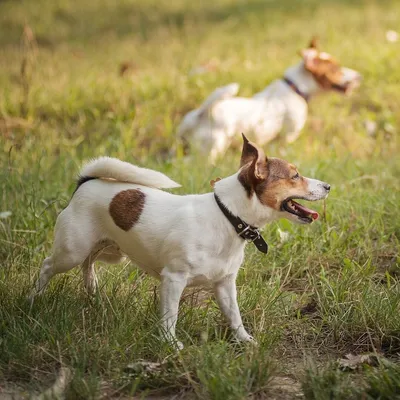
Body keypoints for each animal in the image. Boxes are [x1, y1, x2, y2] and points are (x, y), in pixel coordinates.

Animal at [31, 134, 330, 346]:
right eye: (295, 176)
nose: (328, 186)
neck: (226, 216)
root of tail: (86, 181)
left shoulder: (225, 285)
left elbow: (235, 316)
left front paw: (245, 341)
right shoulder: (173, 279)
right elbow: (170, 316)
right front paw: (171, 345)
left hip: (110, 251)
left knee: (89, 263)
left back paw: (92, 291)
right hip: (72, 250)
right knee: (48, 266)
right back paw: (34, 299)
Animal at [178, 38, 362, 162]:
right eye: (336, 69)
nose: (358, 76)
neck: (294, 87)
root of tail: (202, 113)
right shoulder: (287, 136)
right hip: (212, 149)